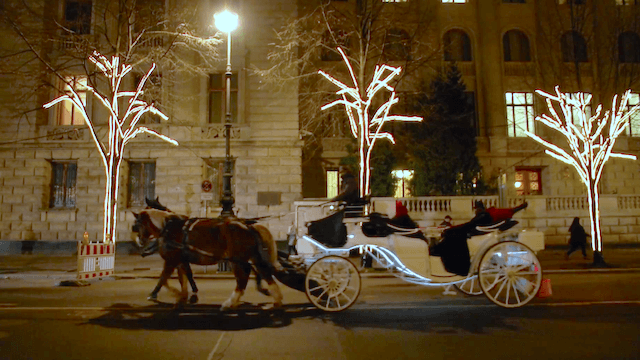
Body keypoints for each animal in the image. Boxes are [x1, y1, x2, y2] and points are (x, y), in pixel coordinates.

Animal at [132, 210, 282, 310]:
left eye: (137, 225)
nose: (140, 242)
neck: (168, 229)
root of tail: (248, 226)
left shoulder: (171, 260)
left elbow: (163, 278)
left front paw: (156, 294)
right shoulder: (181, 260)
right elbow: (183, 278)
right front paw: (184, 296)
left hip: (237, 260)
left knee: (242, 280)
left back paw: (230, 302)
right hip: (250, 257)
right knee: (263, 273)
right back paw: (275, 299)